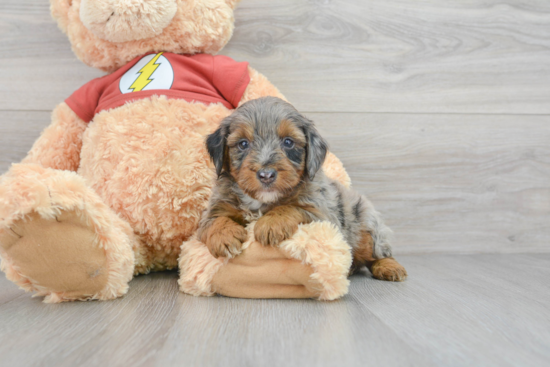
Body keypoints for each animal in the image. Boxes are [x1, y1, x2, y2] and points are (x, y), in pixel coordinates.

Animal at [198, 96, 410, 280]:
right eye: (243, 144)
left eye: (288, 142)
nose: (266, 175)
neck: (261, 201)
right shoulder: (213, 210)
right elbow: (215, 221)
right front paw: (224, 237)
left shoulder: (323, 215)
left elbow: (291, 208)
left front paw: (270, 223)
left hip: (367, 228)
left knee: (378, 252)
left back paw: (389, 267)